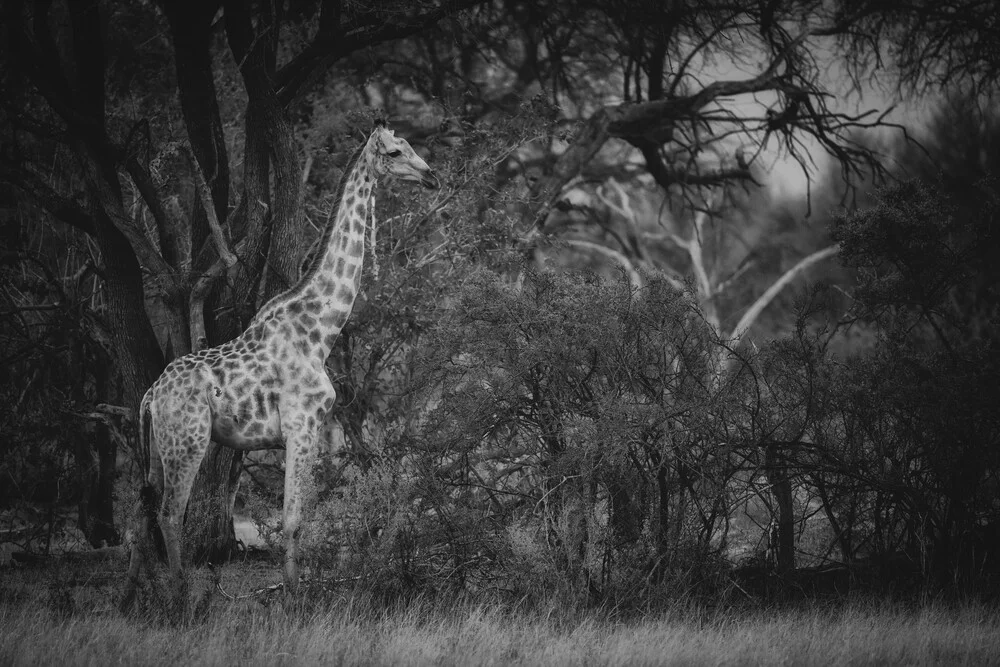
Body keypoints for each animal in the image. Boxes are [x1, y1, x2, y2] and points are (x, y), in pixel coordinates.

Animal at [123, 121, 436, 604]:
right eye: (397, 152)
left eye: (410, 147)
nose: (430, 176)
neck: (321, 332)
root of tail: (151, 394)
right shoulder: (302, 428)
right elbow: (293, 520)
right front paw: (294, 598)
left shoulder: (310, 430)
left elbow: (296, 519)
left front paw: (294, 592)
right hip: (187, 442)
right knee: (170, 514)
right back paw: (181, 599)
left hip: (156, 446)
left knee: (140, 514)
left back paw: (129, 599)